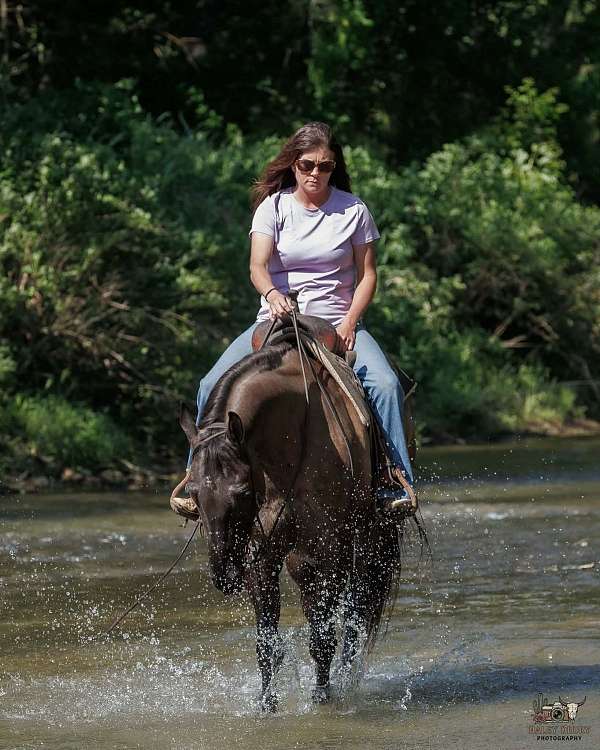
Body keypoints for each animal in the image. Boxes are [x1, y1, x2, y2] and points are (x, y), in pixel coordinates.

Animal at [178, 336, 405, 710]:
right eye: (194, 492)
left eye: (242, 491)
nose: (224, 575)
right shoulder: (260, 555)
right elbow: (267, 642)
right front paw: (266, 703)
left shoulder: (318, 553)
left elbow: (322, 636)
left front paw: (322, 697)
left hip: (368, 539)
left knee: (356, 616)